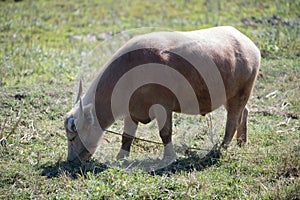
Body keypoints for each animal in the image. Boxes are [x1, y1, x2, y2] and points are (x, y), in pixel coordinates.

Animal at [63, 26, 260, 164]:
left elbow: (165, 133)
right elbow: (127, 136)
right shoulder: (132, 111)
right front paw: (121, 158)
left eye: (72, 137)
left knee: (232, 121)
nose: (71, 161)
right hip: (230, 96)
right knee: (245, 112)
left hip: (241, 92)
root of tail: (250, 46)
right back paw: (241, 142)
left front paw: (168, 158)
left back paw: (221, 148)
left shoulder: (163, 107)